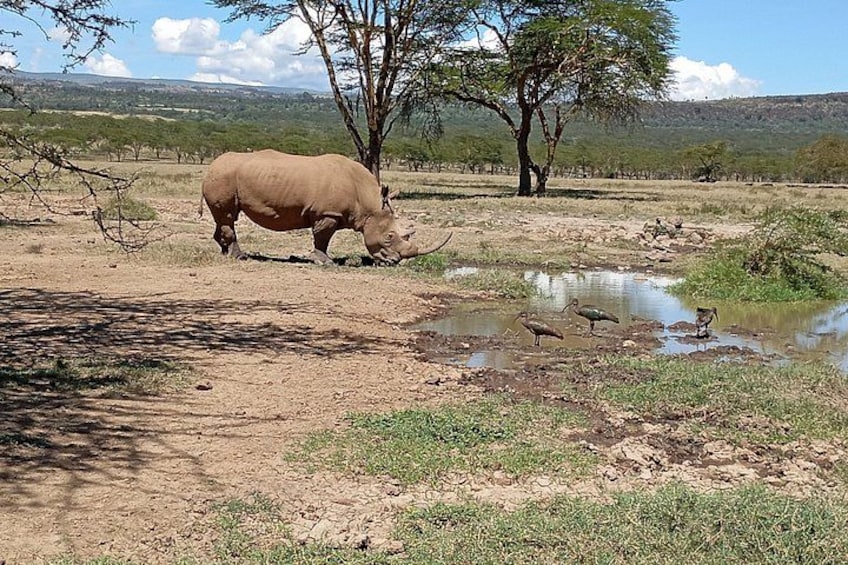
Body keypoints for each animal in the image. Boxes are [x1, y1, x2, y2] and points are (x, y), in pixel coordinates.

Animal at [200, 149, 451, 265]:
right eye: (389, 236)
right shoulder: (326, 213)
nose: (394, 262)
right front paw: (326, 262)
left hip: (222, 177)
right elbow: (322, 238)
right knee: (228, 217)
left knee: (223, 218)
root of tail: (212, 165)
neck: (367, 202)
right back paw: (239, 257)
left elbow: (323, 238)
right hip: (222, 177)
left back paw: (224, 252)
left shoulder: (334, 214)